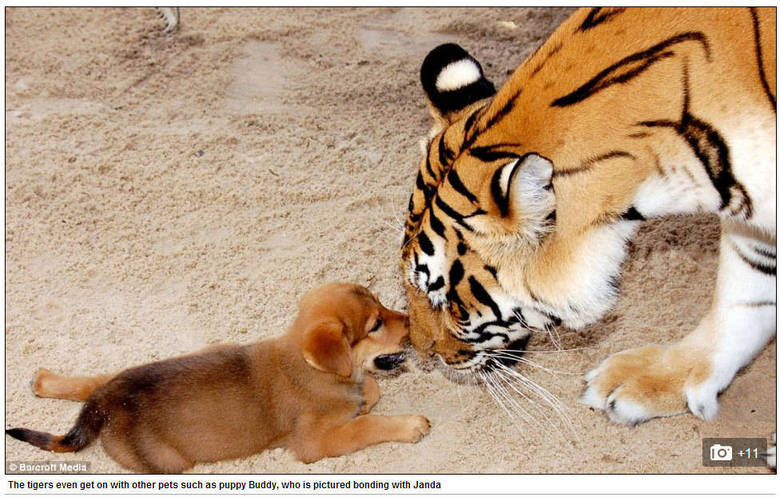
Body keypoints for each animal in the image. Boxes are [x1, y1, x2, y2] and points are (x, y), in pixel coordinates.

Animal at [4, 282, 426, 472]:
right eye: (375, 324)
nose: (413, 322)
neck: (311, 368)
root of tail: (104, 404)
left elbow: (370, 391)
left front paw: (365, 394)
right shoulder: (315, 443)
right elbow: (366, 425)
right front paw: (409, 424)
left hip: (146, 367)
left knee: (92, 379)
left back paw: (45, 380)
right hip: (169, 462)